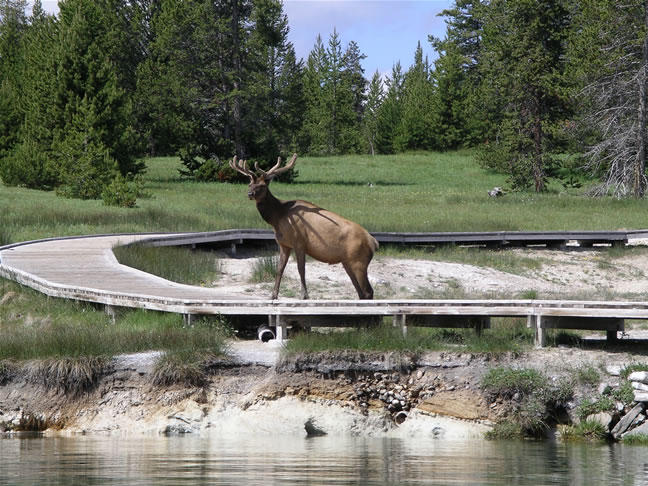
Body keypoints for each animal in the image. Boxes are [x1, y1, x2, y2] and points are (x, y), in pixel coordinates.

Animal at [230, 153, 378, 300]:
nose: (250, 194)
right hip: (347, 262)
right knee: (361, 293)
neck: (278, 218)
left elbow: (301, 269)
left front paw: (304, 295)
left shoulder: (299, 242)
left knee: (368, 292)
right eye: (249, 184)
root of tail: (373, 242)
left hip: (359, 261)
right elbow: (279, 269)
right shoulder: (284, 244)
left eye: (262, 186)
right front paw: (273, 295)